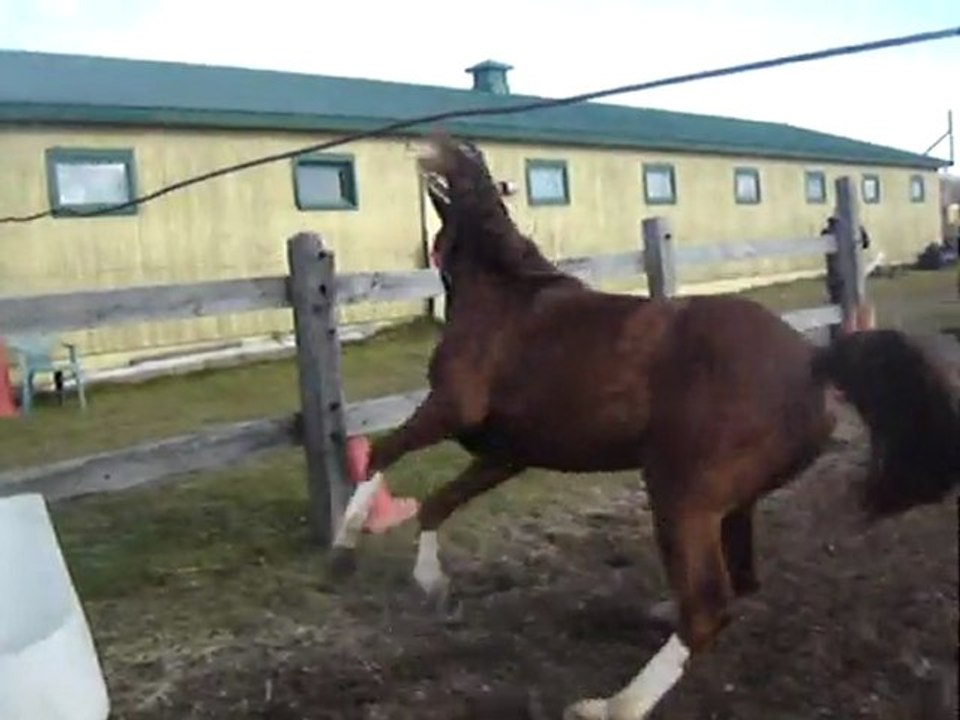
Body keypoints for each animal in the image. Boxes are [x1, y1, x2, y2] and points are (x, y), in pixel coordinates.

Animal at [331, 133, 960, 720]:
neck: (505, 297)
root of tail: (814, 360)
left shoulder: (450, 408)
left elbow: (382, 454)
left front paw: (346, 541)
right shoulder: (506, 453)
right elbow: (438, 503)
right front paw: (432, 584)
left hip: (681, 495)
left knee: (708, 606)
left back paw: (612, 705)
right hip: (730, 502)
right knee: (737, 583)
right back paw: (657, 618)